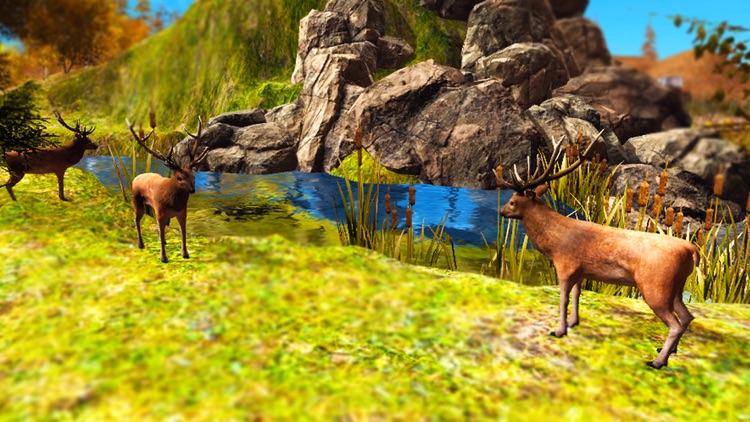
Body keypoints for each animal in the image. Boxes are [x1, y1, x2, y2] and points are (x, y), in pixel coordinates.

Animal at [128, 117, 208, 263]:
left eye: (194, 176)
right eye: (180, 178)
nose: (193, 190)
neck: (174, 203)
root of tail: (136, 177)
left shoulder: (183, 212)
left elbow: (183, 232)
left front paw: (185, 254)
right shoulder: (160, 211)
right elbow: (161, 231)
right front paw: (163, 258)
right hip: (137, 200)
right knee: (136, 220)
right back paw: (141, 244)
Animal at [494, 131, 699, 369]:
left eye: (512, 201)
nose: (501, 211)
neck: (555, 242)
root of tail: (692, 250)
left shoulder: (565, 266)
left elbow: (563, 298)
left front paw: (558, 331)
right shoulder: (581, 271)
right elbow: (577, 294)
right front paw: (573, 323)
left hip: (656, 286)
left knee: (675, 323)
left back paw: (657, 361)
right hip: (676, 287)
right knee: (687, 317)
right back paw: (668, 351)